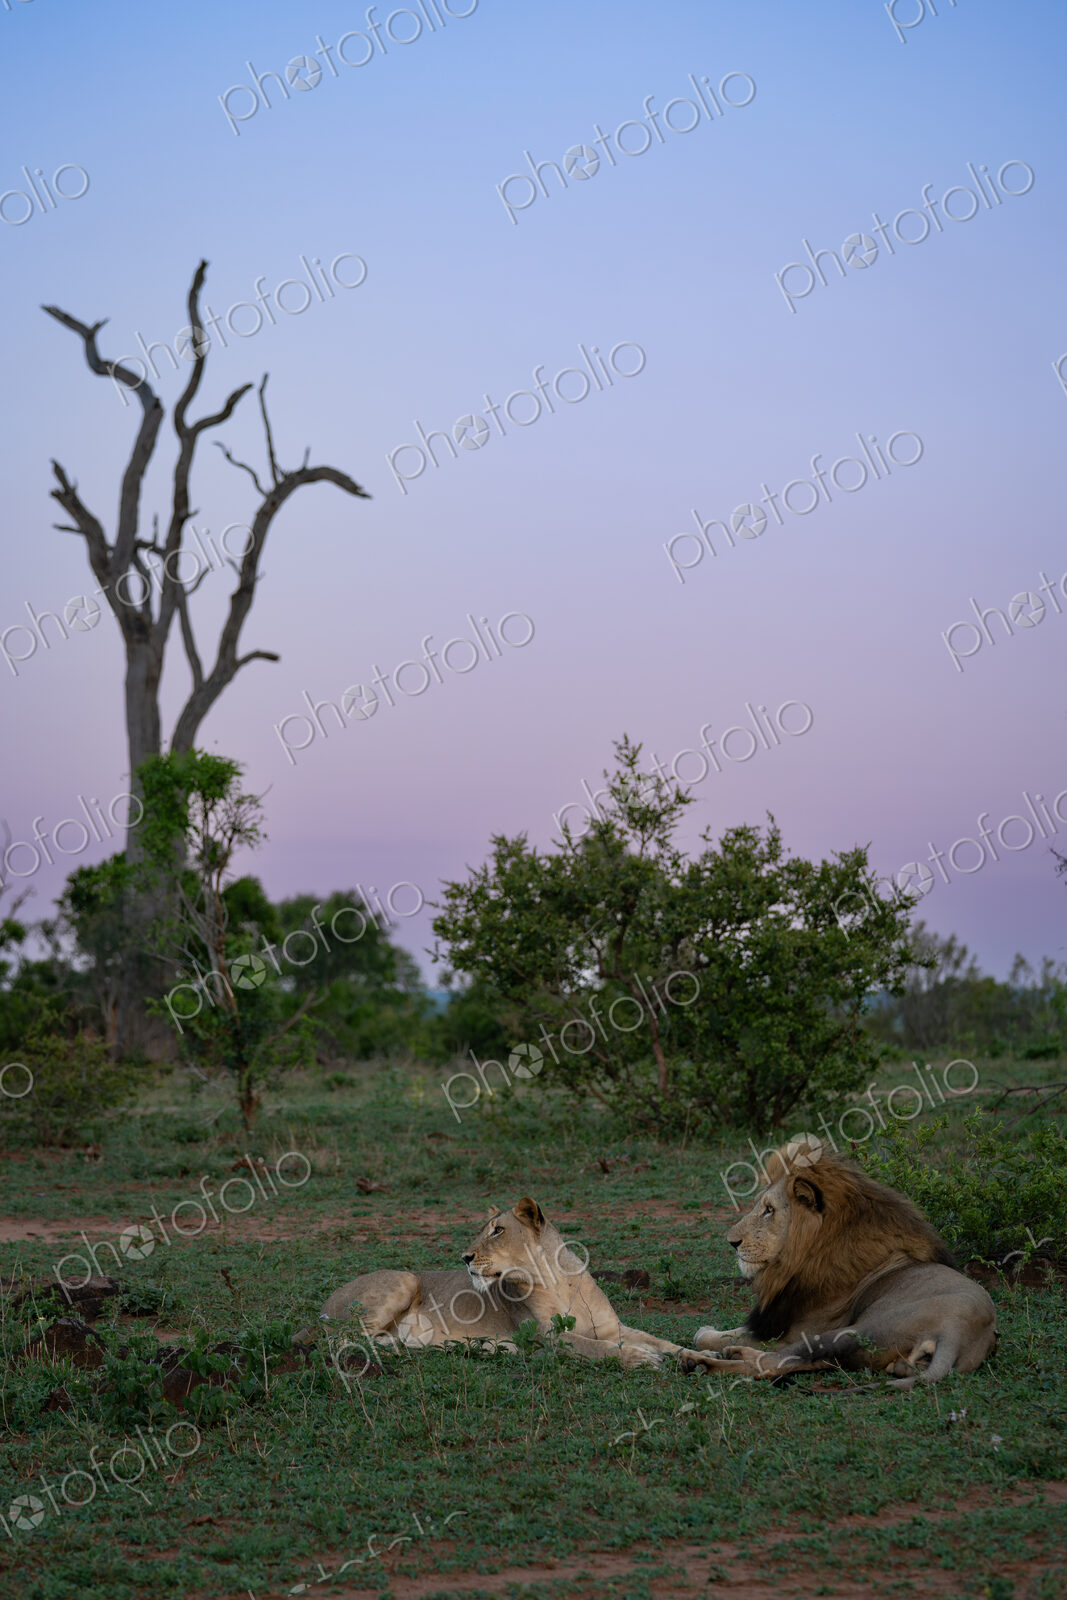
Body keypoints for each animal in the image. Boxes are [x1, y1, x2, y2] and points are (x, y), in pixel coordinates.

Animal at [320, 1196, 692, 1370]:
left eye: (497, 1230)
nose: (465, 1257)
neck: (557, 1281)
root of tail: (326, 1302)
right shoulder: (544, 1337)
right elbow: (596, 1348)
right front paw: (641, 1358)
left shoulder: (613, 1328)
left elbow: (660, 1341)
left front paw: (691, 1356)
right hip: (406, 1279)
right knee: (342, 1340)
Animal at [685, 1139, 997, 1387]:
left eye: (769, 1210)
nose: (731, 1242)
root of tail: (958, 1331)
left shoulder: (794, 1331)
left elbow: (714, 1337)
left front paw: (706, 1334)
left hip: (850, 1332)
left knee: (770, 1364)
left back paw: (699, 1362)